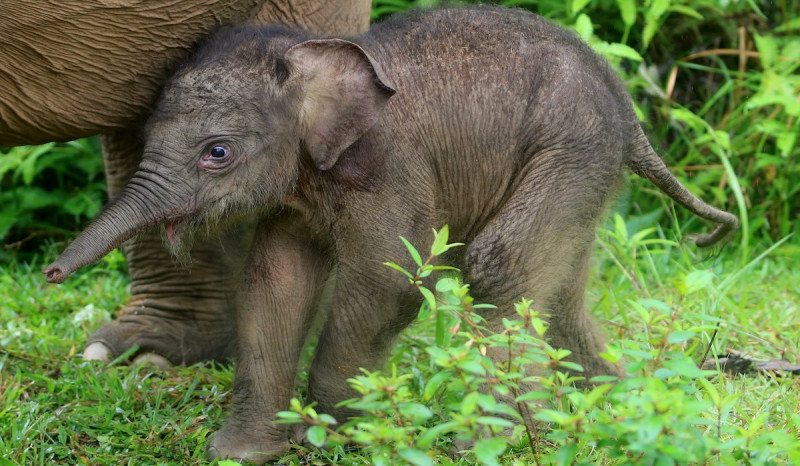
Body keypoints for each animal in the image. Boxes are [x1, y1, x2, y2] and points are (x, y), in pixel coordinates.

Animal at [47, 5, 736, 464]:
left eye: (217, 153)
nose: (53, 273)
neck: (314, 58)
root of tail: (631, 115)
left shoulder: (390, 169)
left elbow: (391, 280)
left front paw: (346, 435)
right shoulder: (297, 191)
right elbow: (274, 283)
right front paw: (241, 454)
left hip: (572, 150)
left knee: (499, 268)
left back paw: (496, 443)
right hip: (585, 169)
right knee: (558, 293)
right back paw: (612, 406)